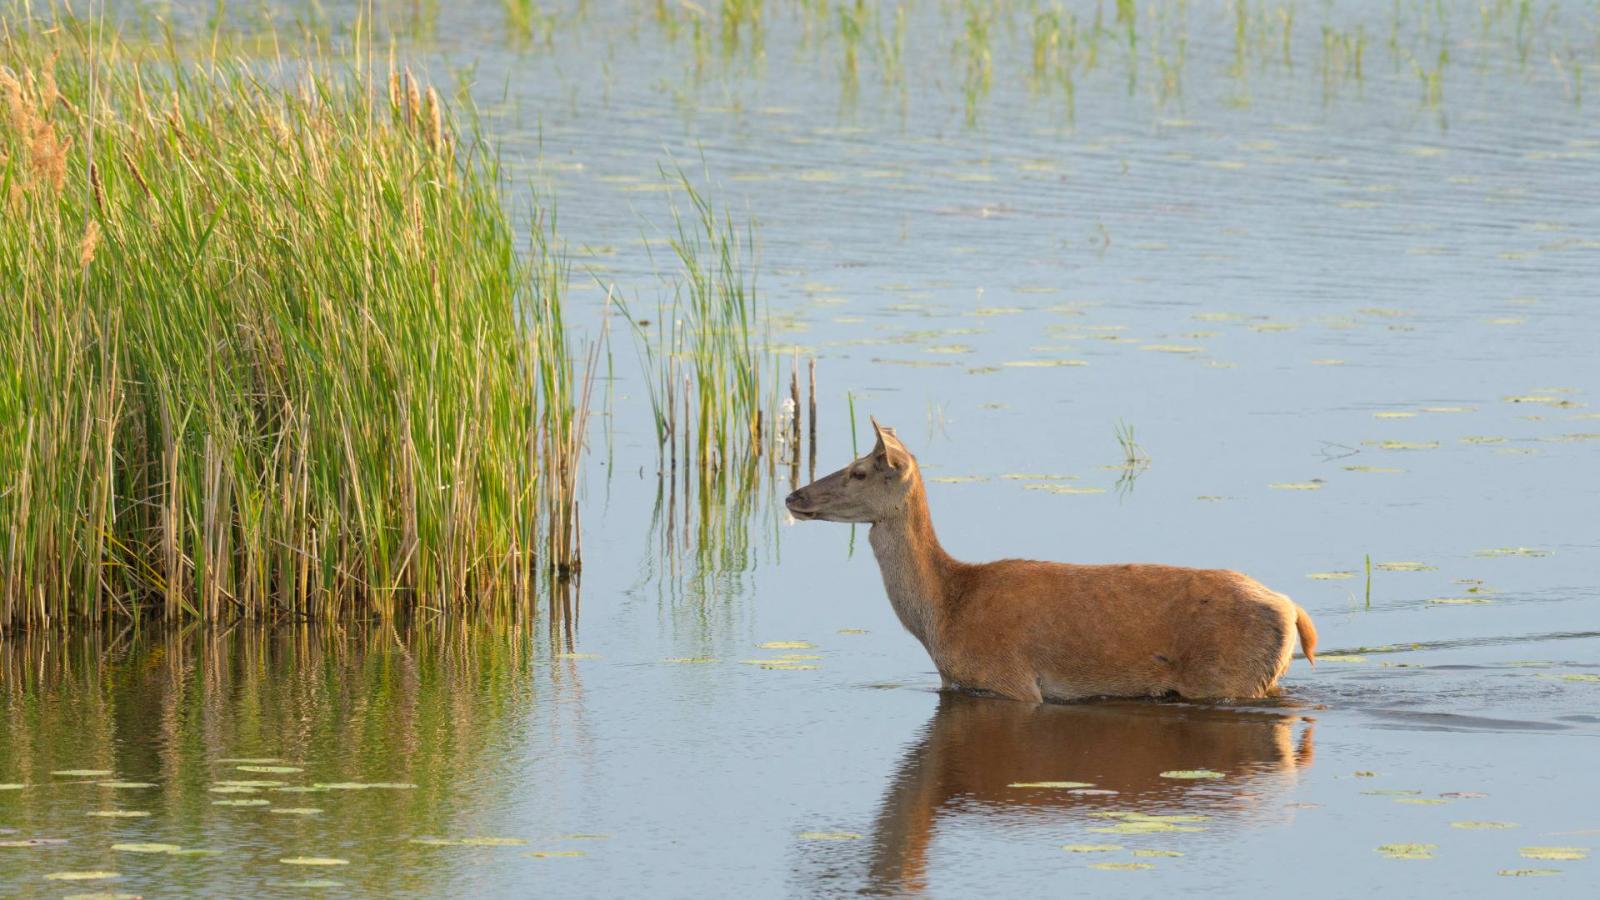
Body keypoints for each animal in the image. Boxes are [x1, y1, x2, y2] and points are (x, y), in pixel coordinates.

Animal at [780, 416, 1318, 704]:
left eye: (859, 470)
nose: (793, 496)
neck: (943, 615)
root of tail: (1292, 608)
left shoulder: (1011, 683)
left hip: (1231, 676)